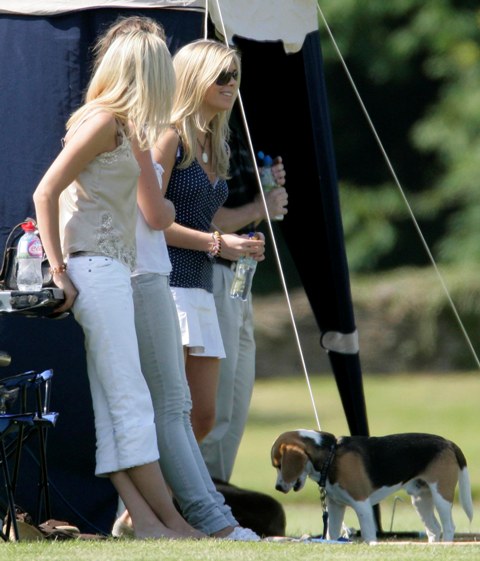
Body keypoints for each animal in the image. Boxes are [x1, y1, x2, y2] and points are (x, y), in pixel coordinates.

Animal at [271, 429, 473, 543]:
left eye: (279, 465)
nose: (278, 487)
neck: (331, 455)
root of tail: (448, 442)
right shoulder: (335, 506)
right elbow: (331, 534)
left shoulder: (362, 505)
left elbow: (368, 534)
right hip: (420, 500)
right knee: (434, 529)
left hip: (441, 495)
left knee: (448, 527)